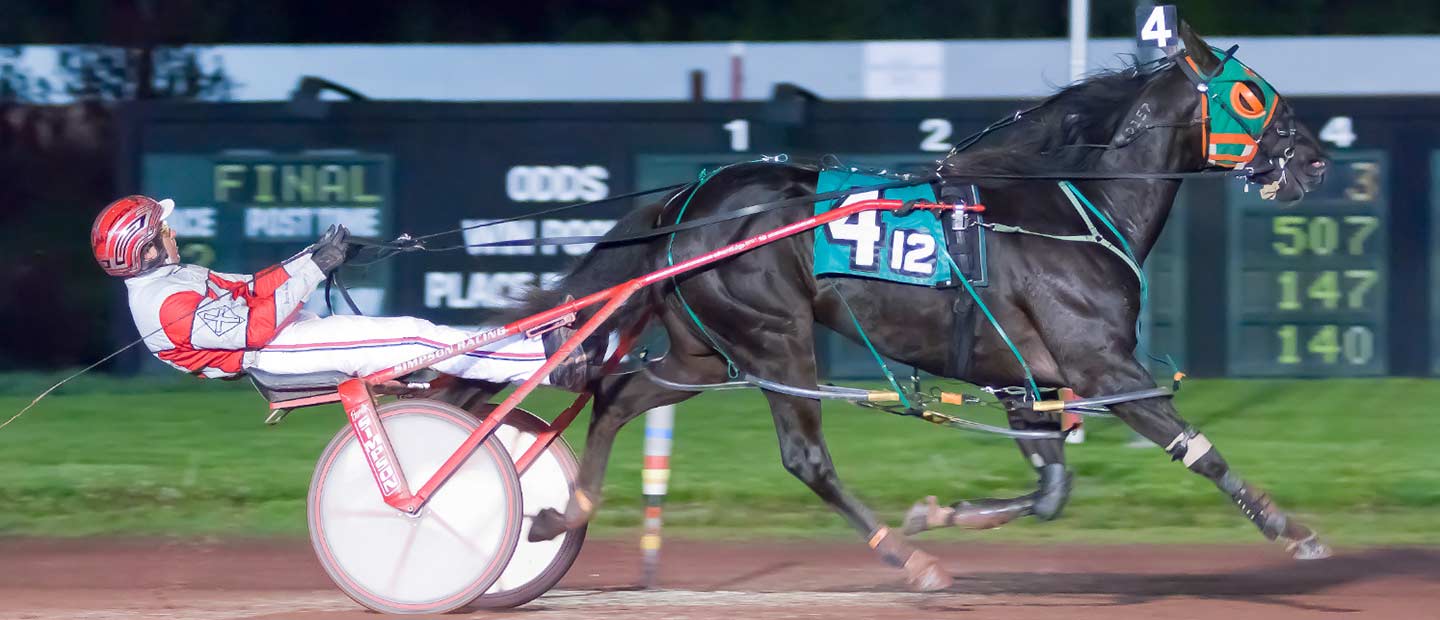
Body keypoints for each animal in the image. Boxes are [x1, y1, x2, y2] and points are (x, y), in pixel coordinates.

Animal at [504, 25, 1324, 592]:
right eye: (1252, 94)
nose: (1315, 159)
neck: (1067, 207)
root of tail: (688, 198)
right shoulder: (1103, 368)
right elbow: (1198, 450)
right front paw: (1292, 529)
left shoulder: (1026, 381)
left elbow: (1051, 493)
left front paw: (946, 511)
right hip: (774, 338)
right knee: (806, 458)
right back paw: (909, 557)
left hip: (704, 350)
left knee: (618, 393)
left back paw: (565, 513)